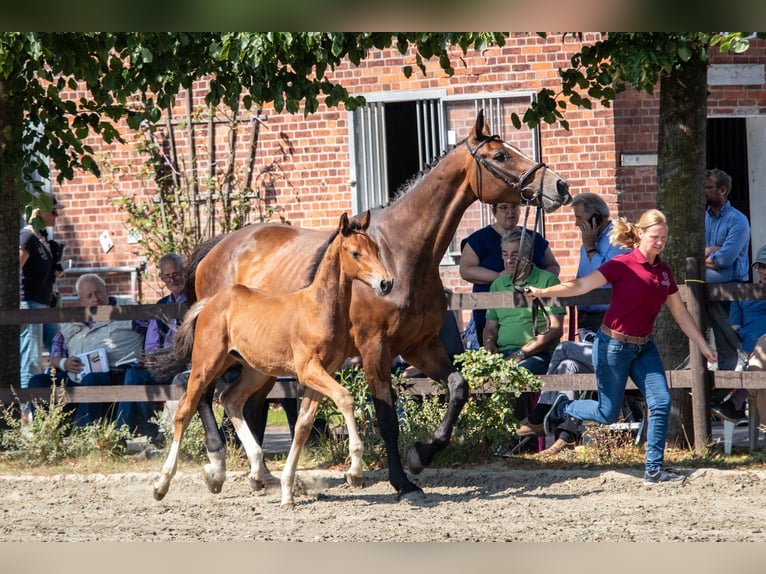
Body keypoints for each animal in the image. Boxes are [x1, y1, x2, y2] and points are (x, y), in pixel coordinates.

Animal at [152, 211, 393, 506]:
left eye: (377, 249)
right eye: (355, 253)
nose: (386, 283)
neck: (319, 309)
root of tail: (211, 302)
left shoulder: (322, 372)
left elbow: (302, 425)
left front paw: (288, 489)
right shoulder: (308, 369)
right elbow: (345, 398)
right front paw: (355, 472)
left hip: (255, 370)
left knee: (231, 400)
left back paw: (256, 470)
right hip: (206, 364)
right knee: (186, 410)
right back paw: (163, 484)